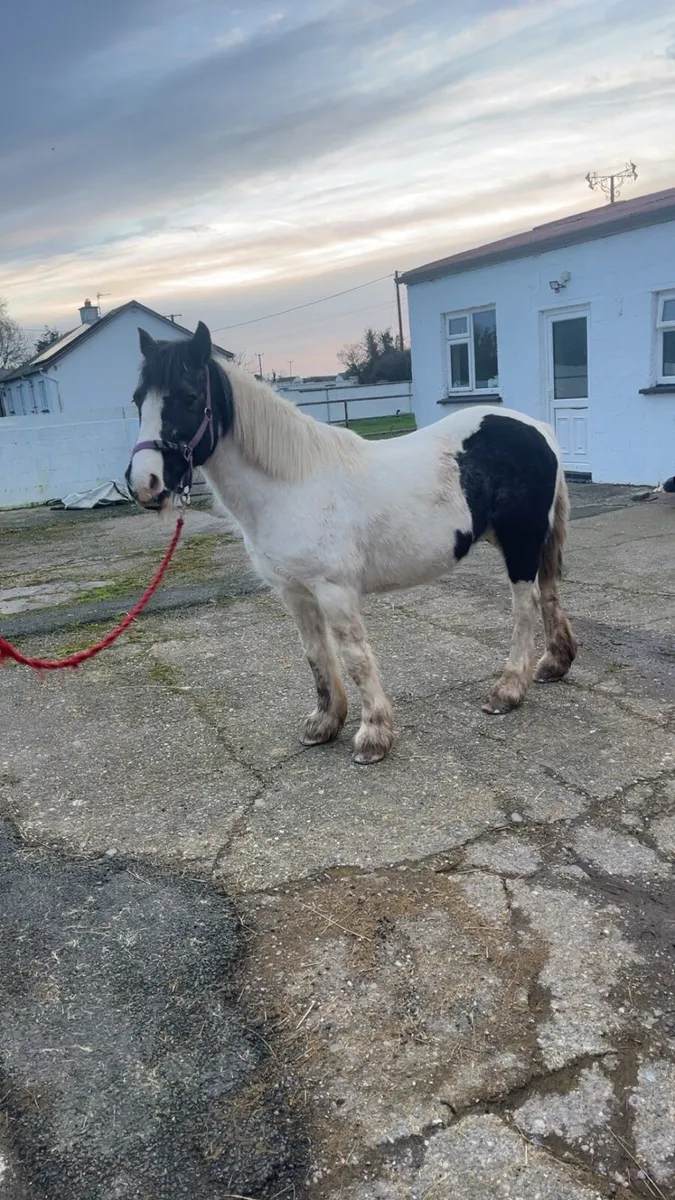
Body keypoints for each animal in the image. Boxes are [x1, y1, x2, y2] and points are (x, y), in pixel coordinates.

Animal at [126, 321, 577, 765]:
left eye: (189, 398)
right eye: (137, 400)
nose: (144, 483)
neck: (290, 487)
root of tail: (538, 429)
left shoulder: (334, 590)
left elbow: (354, 657)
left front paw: (373, 735)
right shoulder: (294, 592)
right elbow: (316, 655)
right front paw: (325, 723)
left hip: (520, 544)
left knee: (525, 608)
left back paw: (508, 690)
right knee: (549, 593)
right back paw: (554, 664)